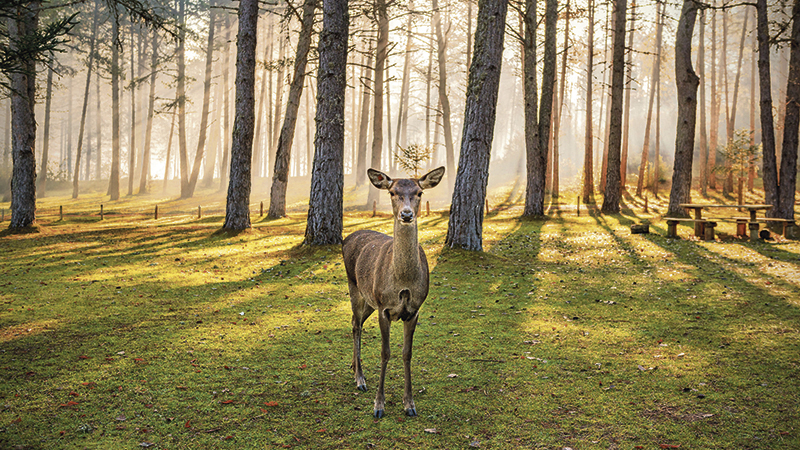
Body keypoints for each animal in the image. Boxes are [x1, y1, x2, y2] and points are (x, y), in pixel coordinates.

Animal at [342, 166, 446, 418]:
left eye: (419, 192)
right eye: (392, 192)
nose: (406, 214)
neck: (403, 282)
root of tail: (345, 239)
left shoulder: (414, 310)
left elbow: (407, 353)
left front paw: (409, 404)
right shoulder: (384, 307)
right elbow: (385, 352)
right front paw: (379, 405)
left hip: (369, 299)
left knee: (355, 322)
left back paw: (354, 366)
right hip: (355, 286)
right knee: (355, 324)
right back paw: (360, 378)